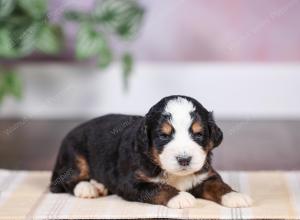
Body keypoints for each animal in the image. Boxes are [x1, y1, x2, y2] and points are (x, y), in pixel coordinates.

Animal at [50, 95, 252, 209]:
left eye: (198, 134)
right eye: (164, 135)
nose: (184, 160)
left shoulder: (205, 174)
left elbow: (218, 185)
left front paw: (235, 195)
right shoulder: (131, 182)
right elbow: (158, 187)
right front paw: (180, 197)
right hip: (75, 155)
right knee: (68, 179)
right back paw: (88, 188)